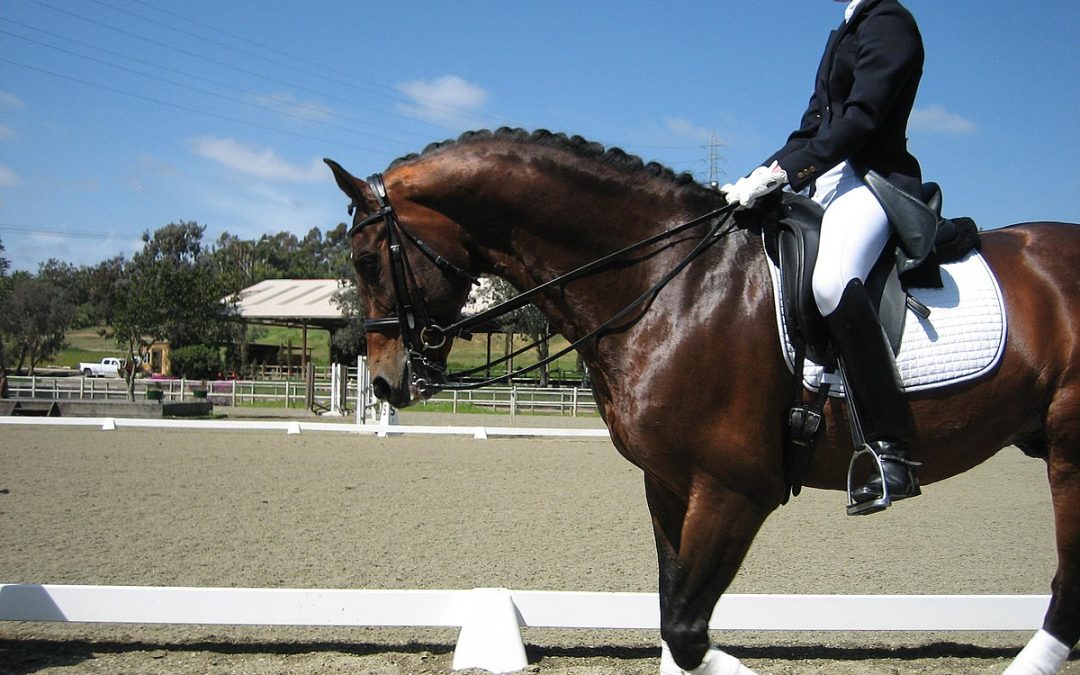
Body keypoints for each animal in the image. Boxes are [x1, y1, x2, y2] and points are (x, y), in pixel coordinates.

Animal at [326, 127, 1080, 673]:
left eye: (364, 260)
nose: (386, 381)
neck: (668, 282)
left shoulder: (733, 488)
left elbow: (689, 632)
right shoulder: (668, 484)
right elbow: (673, 621)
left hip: (1069, 452)